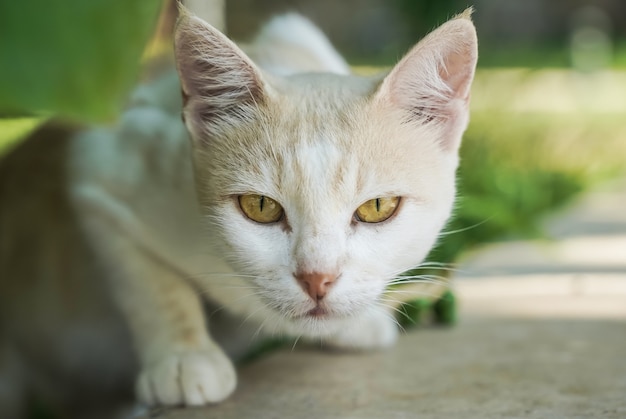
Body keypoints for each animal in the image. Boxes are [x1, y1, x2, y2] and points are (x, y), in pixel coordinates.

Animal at [0, 5, 476, 416]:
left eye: (378, 207)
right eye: (260, 207)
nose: (317, 279)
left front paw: (355, 323)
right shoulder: (101, 168)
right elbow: (150, 286)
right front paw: (184, 357)